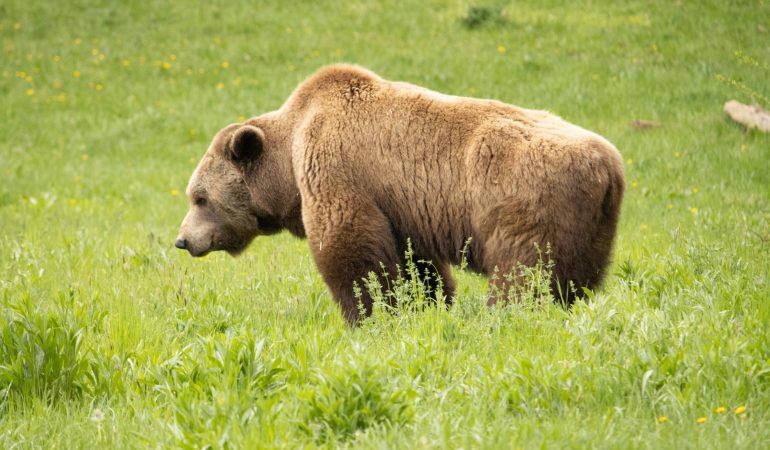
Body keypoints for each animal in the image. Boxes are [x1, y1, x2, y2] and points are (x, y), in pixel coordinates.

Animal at [175, 64, 625, 324]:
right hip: (590, 227)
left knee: (523, 271)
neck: (287, 163)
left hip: (524, 199)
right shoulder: (402, 206)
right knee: (575, 279)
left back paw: (507, 315)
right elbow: (415, 262)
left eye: (199, 198)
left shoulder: (337, 167)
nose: (182, 240)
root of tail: (609, 166)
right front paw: (425, 304)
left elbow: (350, 247)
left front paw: (368, 313)